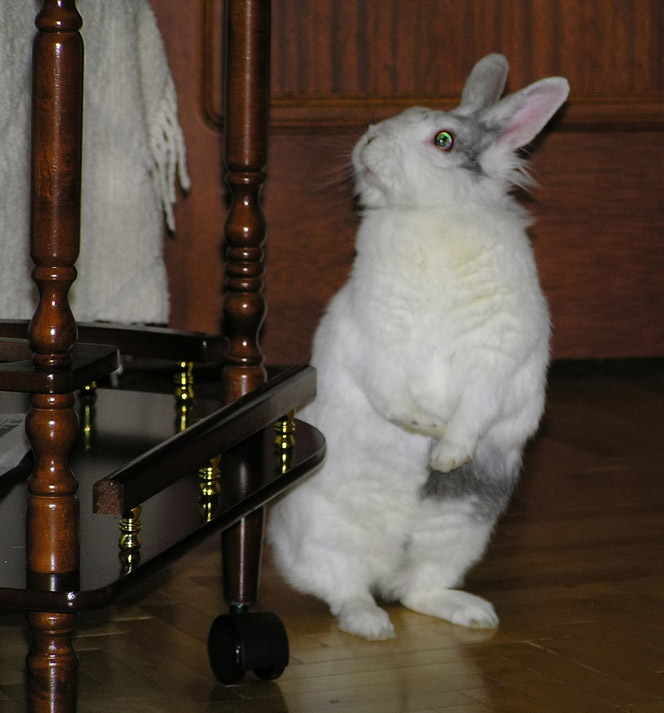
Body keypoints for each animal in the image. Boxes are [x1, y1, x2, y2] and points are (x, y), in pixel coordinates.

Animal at [268, 54, 569, 641]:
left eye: (443, 140)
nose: (368, 141)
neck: (432, 215)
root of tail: (390, 565)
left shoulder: (495, 356)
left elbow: (475, 408)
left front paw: (446, 453)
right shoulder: (377, 342)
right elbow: (390, 397)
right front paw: (427, 426)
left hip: (460, 536)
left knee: (417, 591)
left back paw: (472, 614)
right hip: (327, 535)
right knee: (345, 590)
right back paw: (372, 625)